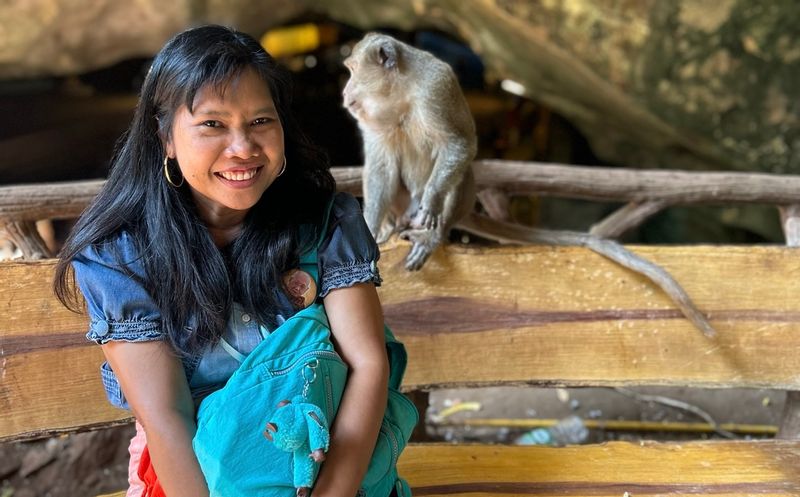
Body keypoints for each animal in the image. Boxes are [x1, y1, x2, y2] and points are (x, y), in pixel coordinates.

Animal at [342, 30, 476, 272]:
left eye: (354, 69)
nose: (344, 92)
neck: (402, 93)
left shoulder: (436, 89)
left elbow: (459, 144)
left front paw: (432, 199)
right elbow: (380, 169)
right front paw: (370, 230)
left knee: (459, 177)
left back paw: (432, 237)